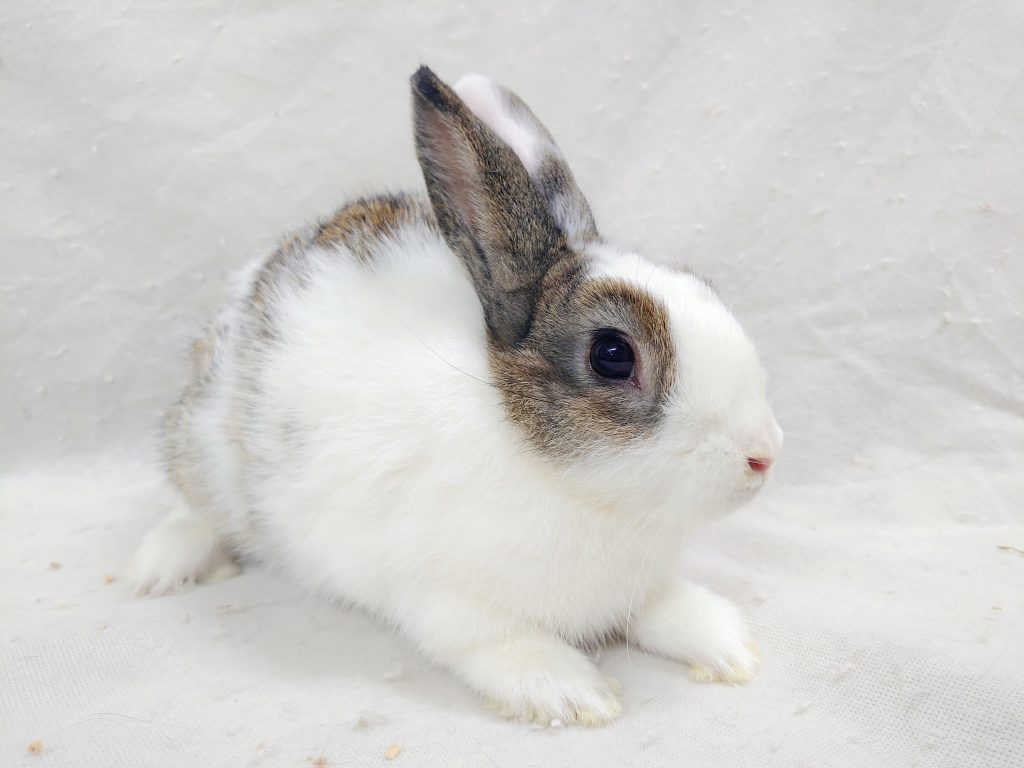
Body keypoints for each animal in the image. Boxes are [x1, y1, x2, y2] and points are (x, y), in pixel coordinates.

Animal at [131, 66, 783, 726]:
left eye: (703, 283)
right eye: (612, 354)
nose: (763, 455)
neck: (575, 490)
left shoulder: (639, 587)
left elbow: (664, 608)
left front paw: (728, 645)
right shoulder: (443, 598)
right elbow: (497, 642)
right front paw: (573, 694)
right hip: (207, 452)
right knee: (193, 509)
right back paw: (162, 570)